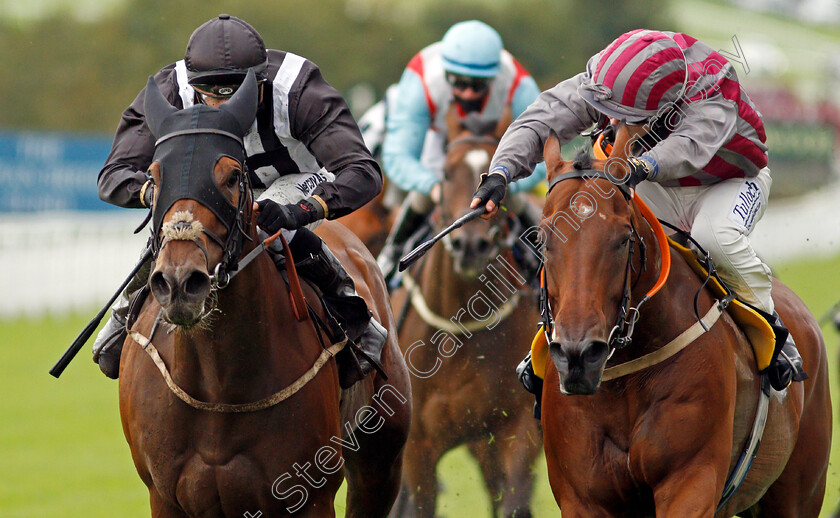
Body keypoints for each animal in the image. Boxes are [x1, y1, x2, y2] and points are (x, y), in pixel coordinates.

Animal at [119, 72, 414, 518]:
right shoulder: (165, 497)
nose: (180, 281)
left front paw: (281, 214)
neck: (218, 386)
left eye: (231, 176)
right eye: (153, 178)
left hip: (381, 460)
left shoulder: (309, 496)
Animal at [388, 106, 540, 518]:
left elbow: (514, 500)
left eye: (501, 181)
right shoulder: (418, 448)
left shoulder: (515, 429)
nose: (470, 244)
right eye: (444, 173)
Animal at [536, 128, 832, 516]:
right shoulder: (582, 497)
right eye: (541, 239)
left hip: (799, 492)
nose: (578, 356)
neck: (624, 379)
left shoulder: (692, 479)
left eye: (623, 239)